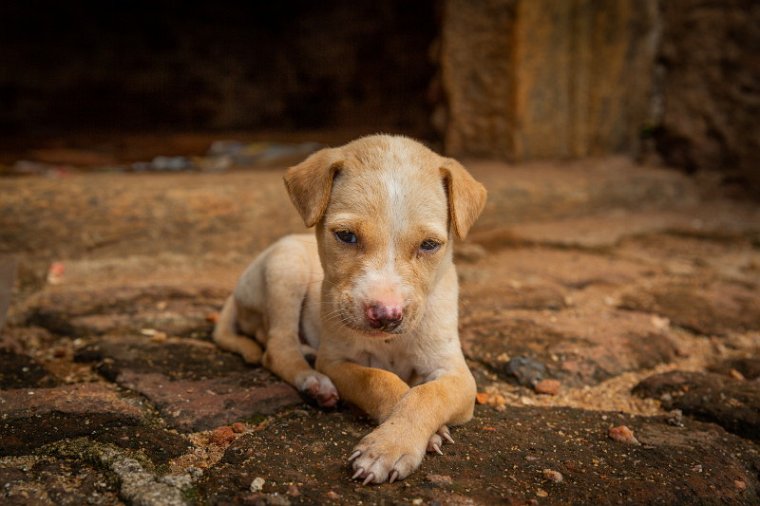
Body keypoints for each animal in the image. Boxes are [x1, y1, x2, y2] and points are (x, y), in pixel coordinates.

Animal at [214, 133, 486, 482]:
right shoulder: (336, 362)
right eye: (346, 236)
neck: (389, 342)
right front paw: (390, 445)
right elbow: (378, 379)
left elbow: (426, 394)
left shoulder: (457, 375)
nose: (386, 316)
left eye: (429, 245)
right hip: (286, 267)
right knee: (277, 348)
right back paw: (314, 382)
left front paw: (393, 443)